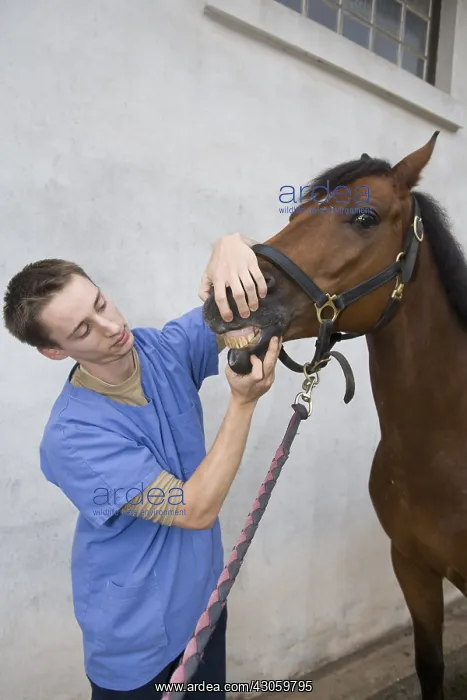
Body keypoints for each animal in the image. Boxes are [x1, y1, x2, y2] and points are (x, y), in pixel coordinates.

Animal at [202, 132, 467, 700]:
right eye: (298, 209)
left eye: (364, 217)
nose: (226, 296)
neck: (443, 450)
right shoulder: (411, 566)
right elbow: (430, 664)